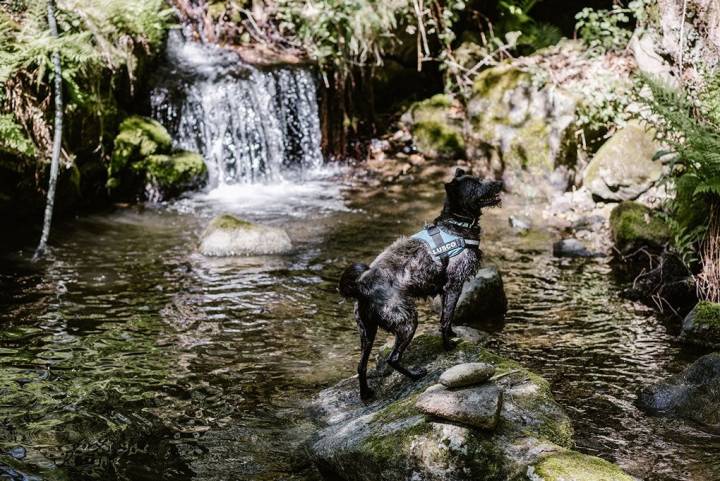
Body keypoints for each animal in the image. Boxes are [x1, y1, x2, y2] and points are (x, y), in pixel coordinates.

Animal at [338, 169, 500, 398]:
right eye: (476, 185)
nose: (500, 183)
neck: (455, 225)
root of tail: (362, 287)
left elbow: (447, 317)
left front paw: (452, 335)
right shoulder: (454, 285)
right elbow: (445, 319)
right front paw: (448, 344)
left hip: (367, 331)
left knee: (361, 366)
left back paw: (366, 394)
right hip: (407, 321)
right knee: (393, 358)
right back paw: (415, 375)